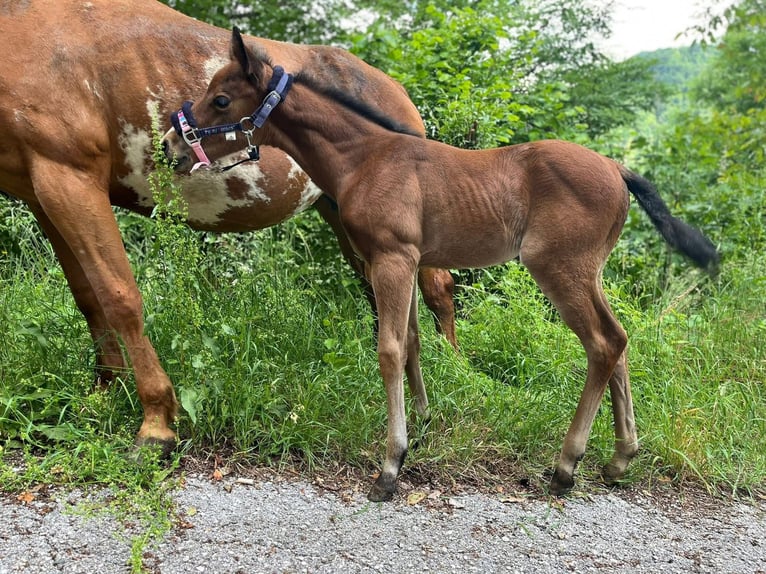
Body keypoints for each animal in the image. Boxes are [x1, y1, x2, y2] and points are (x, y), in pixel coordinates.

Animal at [0, 0, 457, 456]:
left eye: (220, 100)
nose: (170, 146)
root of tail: (396, 89)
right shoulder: (44, 192)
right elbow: (88, 298)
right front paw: (104, 393)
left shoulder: (70, 175)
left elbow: (119, 297)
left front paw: (155, 423)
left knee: (437, 287)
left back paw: (453, 372)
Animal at [163, 28, 720, 500]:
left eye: (220, 99)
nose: (171, 143)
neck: (364, 157)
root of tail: (617, 168)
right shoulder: (406, 261)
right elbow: (411, 341)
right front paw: (423, 426)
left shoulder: (391, 258)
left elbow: (389, 349)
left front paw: (390, 466)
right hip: (589, 273)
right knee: (620, 341)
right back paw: (620, 459)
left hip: (559, 269)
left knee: (604, 344)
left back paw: (566, 466)